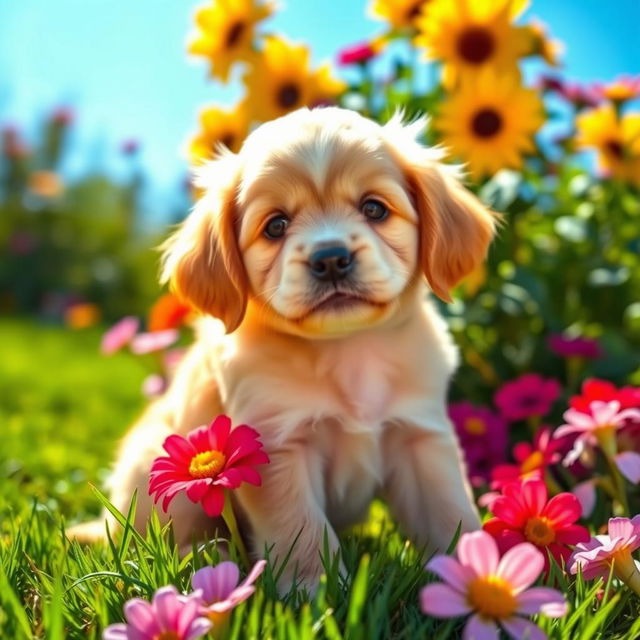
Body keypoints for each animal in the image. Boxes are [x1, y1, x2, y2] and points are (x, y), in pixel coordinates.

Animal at [72, 106, 498, 592]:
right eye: (275, 225)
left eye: (374, 208)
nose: (330, 258)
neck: (347, 348)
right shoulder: (276, 447)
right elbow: (303, 530)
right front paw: (317, 590)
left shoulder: (420, 437)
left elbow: (449, 513)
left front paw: (479, 572)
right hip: (159, 477)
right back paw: (207, 558)